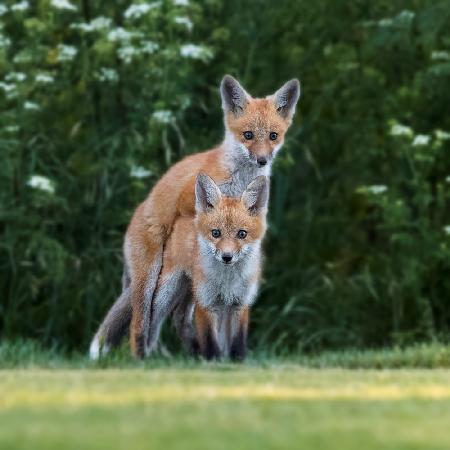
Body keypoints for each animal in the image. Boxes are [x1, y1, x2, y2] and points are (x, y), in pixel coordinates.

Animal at [146, 174, 268, 360]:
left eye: (242, 234)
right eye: (216, 233)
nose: (227, 257)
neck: (227, 281)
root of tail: (185, 216)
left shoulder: (239, 303)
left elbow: (237, 341)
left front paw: (236, 361)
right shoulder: (206, 302)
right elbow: (210, 341)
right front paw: (213, 362)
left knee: (182, 320)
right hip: (166, 293)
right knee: (154, 323)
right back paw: (147, 353)